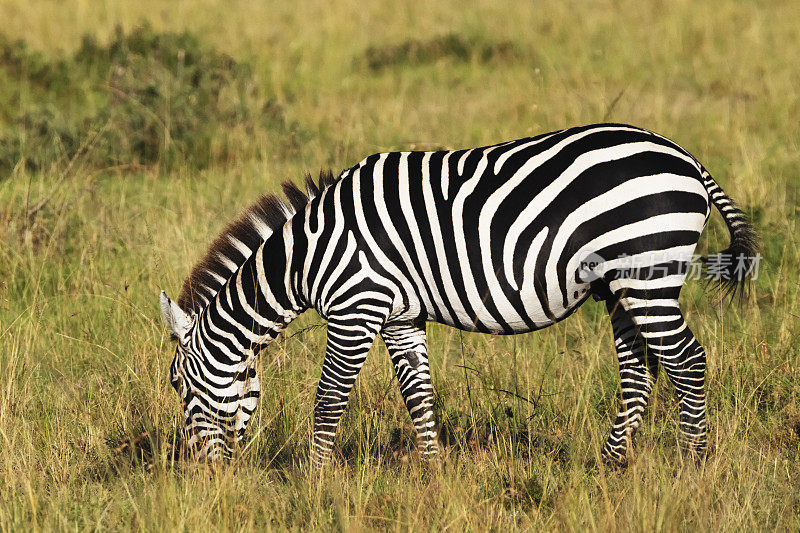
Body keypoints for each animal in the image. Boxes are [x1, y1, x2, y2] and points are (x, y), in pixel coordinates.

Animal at [161, 123, 756, 466]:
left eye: (178, 386)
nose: (197, 470)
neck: (309, 254)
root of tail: (686, 157)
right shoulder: (399, 315)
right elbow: (418, 396)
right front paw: (432, 472)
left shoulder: (356, 308)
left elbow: (329, 398)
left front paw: (314, 478)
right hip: (620, 286)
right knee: (640, 371)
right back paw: (609, 466)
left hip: (645, 272)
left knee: (688, 361)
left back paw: (693, 463)